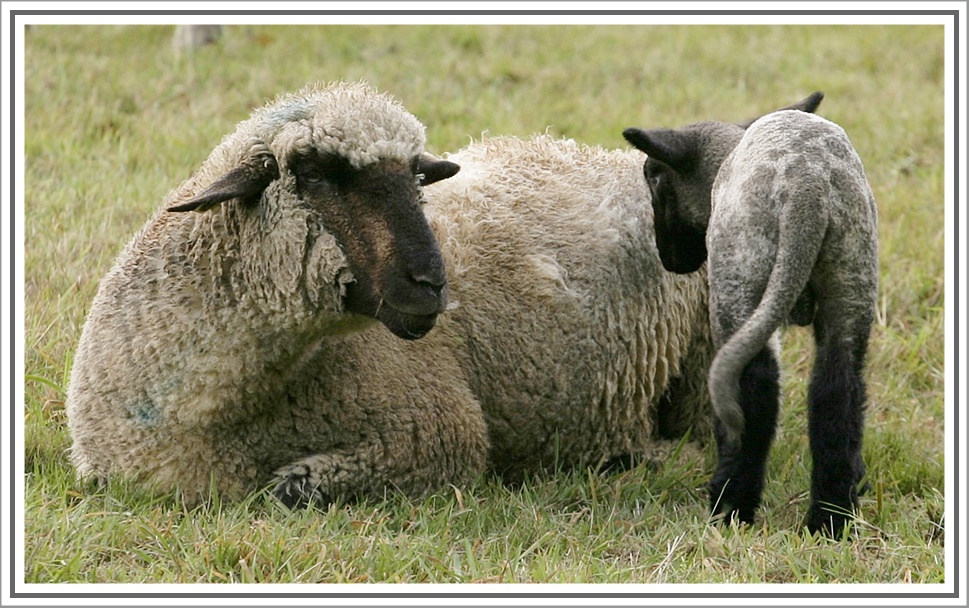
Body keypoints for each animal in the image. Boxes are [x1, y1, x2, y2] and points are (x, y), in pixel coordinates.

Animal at [624, 92, 880, 536]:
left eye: (654, 177)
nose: (670, 260)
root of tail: (808, 186)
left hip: (742, 267)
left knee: (753, 387)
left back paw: (730, 506)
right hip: (852, 272)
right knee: (837, 389)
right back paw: (830, 520)